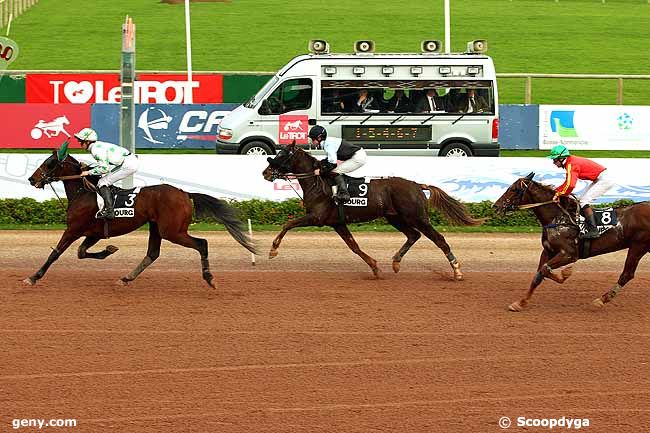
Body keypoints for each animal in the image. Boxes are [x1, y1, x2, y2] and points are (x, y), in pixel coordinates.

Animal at [27, 148, 256, 286]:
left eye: (49, 163)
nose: (31, 179)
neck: (83, 192)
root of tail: (184, 193)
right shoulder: (94, 232)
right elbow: (82, 253)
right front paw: (109, 250)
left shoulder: (74, 229)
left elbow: (55, 253)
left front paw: (33, 277)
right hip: (157, 227)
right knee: (152, 254)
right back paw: (126, 278)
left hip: (172, 231)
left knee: (202, 244)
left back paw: (209, 278)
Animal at [260, 143, 480, 278]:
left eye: (282, 154)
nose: (266, 172)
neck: (317, 182)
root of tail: (417, 185)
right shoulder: (337, 223)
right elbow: (354, 246)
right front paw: (375, 267)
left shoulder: (316, 217)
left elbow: (288, 223)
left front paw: (273, 250)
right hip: (395, 218)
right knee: (413, 235)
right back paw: (396, 262)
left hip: (416, 216)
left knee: (438, 239)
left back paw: (457, 270)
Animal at [494, 172, 644, 310]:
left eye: (513, 189)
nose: (495, 206)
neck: (558, 219)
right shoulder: (548, 251)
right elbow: (538, 275)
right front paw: (521, 303)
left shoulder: (569, 254)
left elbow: (545, 269)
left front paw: (565, 273)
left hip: (637, 246)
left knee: (627, 274)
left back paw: (602, 299)